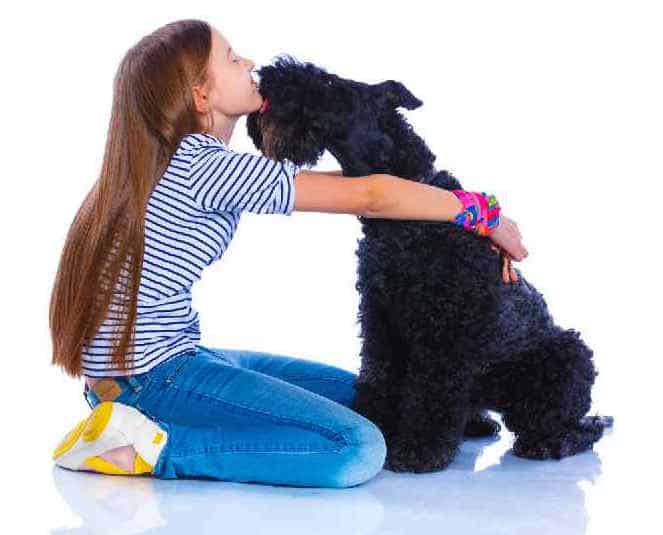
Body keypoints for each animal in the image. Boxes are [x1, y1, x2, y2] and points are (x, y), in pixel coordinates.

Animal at [246, 55, 616, 474]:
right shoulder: (380, 318)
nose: (266, 81)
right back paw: (477, 423)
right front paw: (379, 426)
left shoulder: (445, 328)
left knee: (572, 426)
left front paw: (417, 450)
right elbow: (380, 375)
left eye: (327, 83)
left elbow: (432, 389)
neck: (407, 215)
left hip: (565, 356)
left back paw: (550, 441)